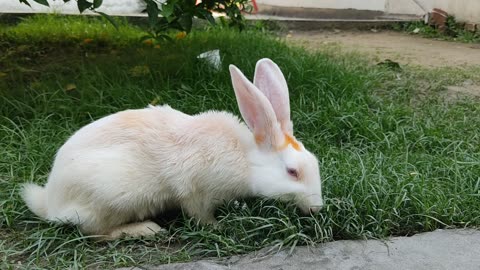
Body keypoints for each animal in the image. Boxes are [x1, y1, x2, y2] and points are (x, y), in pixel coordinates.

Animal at [21, 58, 322, 238]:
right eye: (292, 172)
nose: (317, 208)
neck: (246, 160)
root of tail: (51, 203)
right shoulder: (194, 191)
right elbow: (200, 214)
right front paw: (218, 226)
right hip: (109, 197)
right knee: (94, 232)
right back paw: (146, 229)